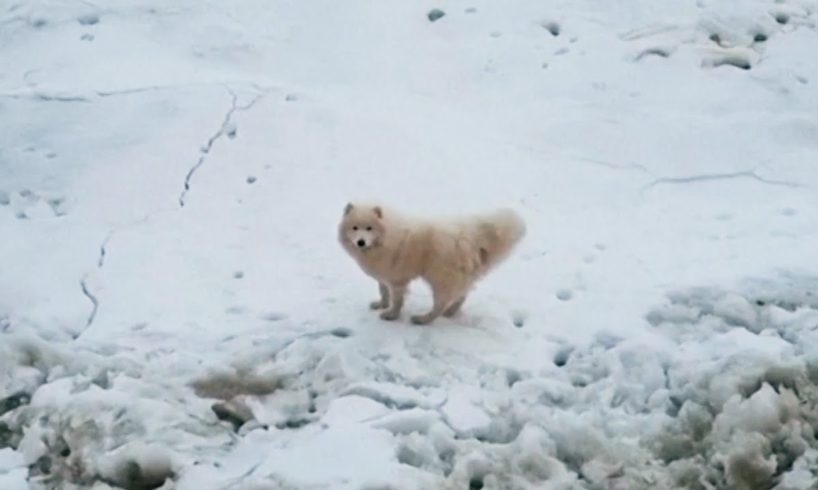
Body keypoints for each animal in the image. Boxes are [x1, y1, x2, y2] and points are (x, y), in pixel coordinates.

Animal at [336, 203, 524, 326]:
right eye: (355, 228)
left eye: (369, 228)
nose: (360, 242)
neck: (387, 237)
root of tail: (470, 238)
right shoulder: (384, 275)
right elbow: (383, 291)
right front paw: (381, 304)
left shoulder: (397, 279)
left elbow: (397, 300)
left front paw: (391, 315)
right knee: (461, 296)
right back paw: (450, 312)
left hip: (440, 279)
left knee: (441, 304)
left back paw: (423, 319)